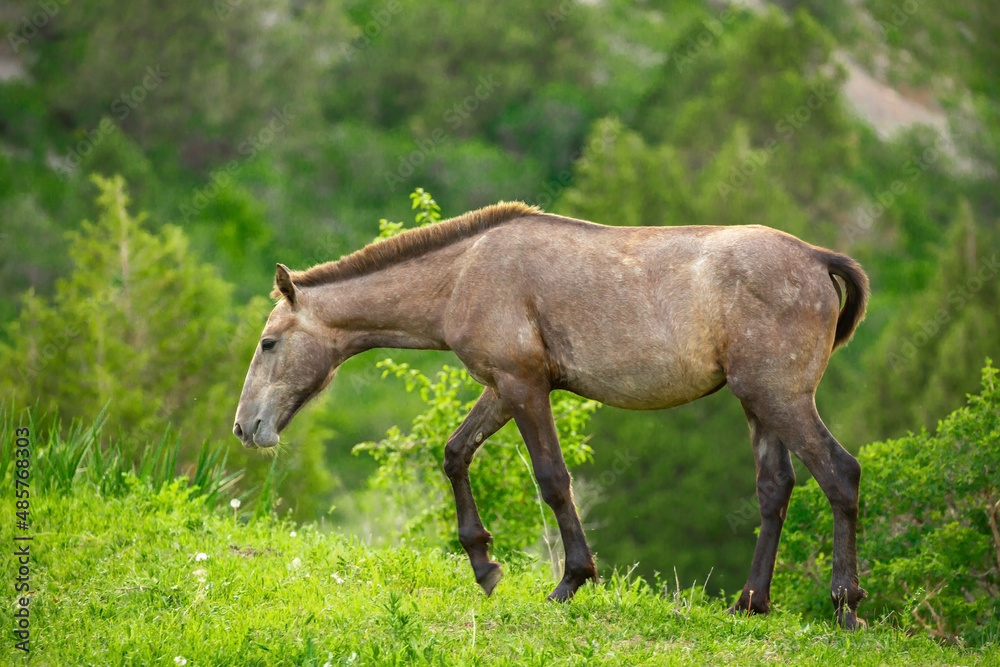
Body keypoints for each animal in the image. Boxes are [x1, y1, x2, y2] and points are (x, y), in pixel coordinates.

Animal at [232, 201, 868, 628]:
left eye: (268, 343)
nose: (245, 426)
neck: (464, 272)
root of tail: (816, 259)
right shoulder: (501, 387)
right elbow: (455, 454)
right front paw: (484, 565)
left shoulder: (525, 387)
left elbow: (553, 480)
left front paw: (570, 580)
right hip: (757, 404)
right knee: (775, 488)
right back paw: (750, 603)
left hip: (781, 400)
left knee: (840, 474)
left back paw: (846, 605)